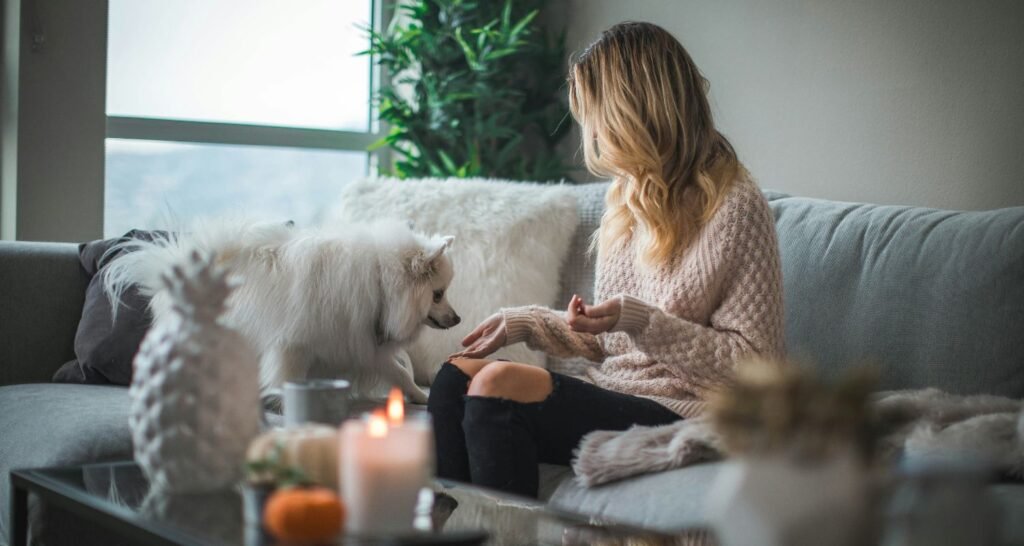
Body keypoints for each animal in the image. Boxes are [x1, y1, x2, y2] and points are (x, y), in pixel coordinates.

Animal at [102, 215, 456, 401]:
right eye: (438, 294)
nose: (458, 318)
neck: (380, 281)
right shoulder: (294, 346)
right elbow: (287, 377)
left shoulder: (362, 343)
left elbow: (400, 373)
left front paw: (421, 397)